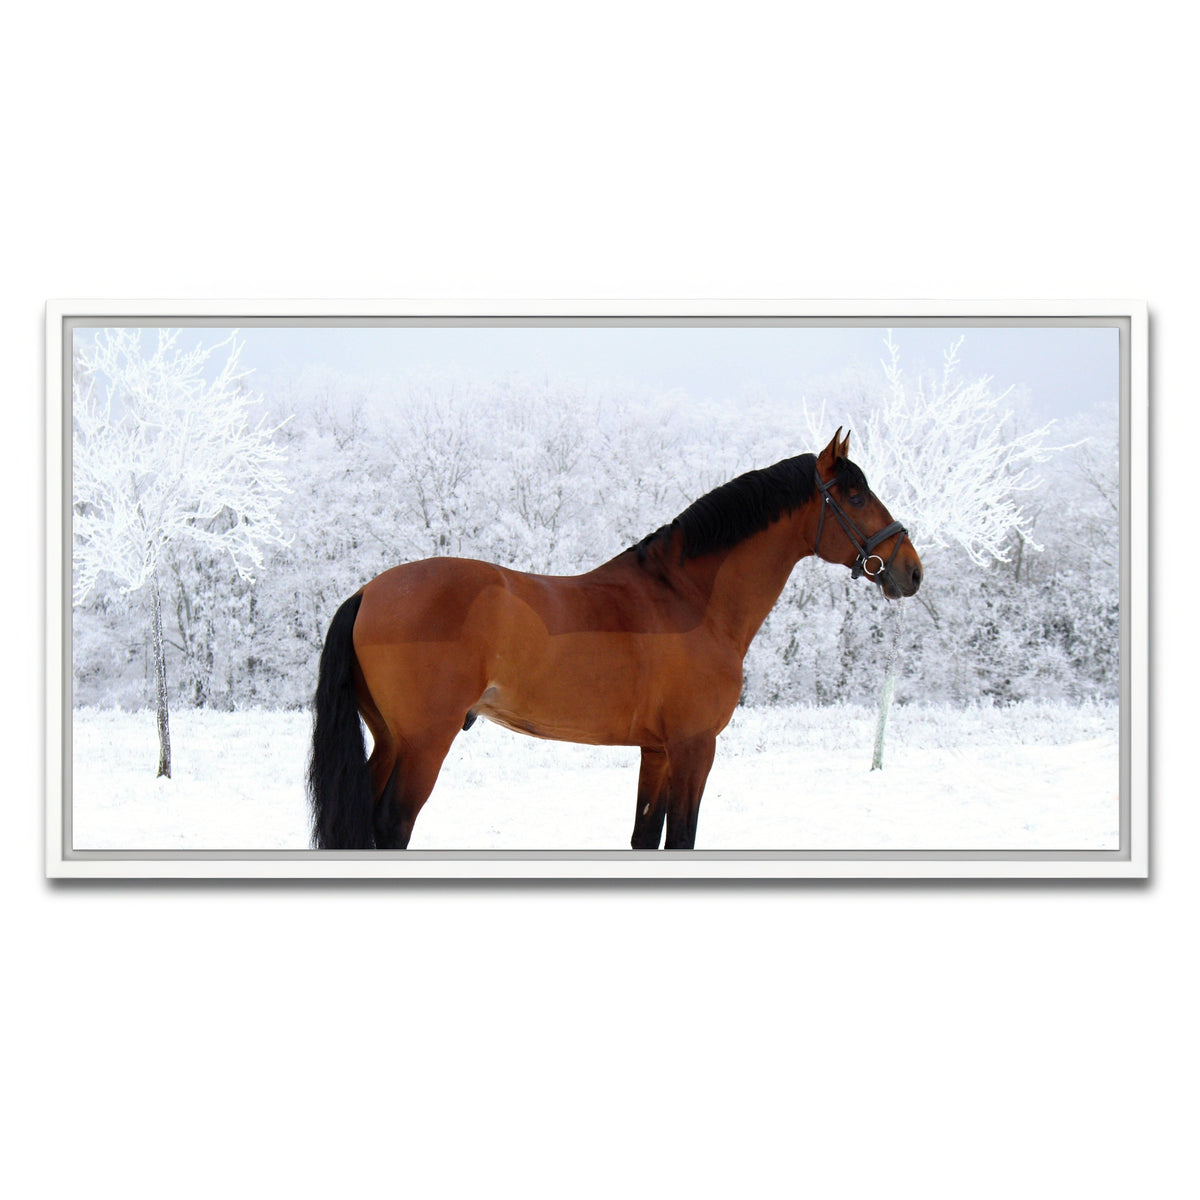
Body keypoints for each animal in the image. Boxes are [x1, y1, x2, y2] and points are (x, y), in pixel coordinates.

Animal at [308, 429, 922, 850]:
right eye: (857, 496)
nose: (910, 570)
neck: (687, 598)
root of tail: (367, 592)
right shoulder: (695, 747)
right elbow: (682, 838)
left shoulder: (657, 751)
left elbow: (645, 837)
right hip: (423, 744)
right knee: (391, 826)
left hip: (390, 740)